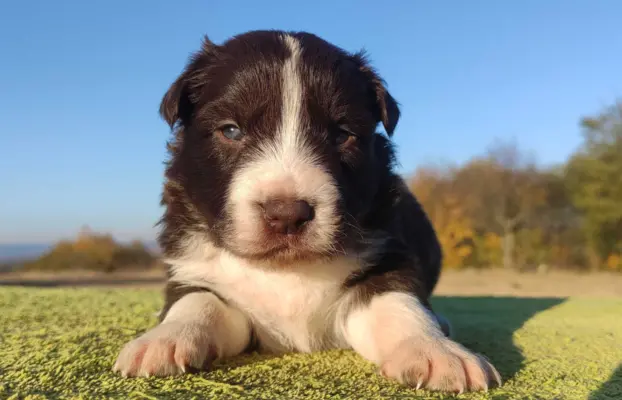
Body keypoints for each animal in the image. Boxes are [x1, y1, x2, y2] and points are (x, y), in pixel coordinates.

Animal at [112, 29, 502, 392]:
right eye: (231, 130)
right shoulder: (193, 269)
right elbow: (196, 302)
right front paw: (163, 339)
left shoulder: (386, 258)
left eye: (342, 135)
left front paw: (436, 352)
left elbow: (398, 304)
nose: (287, 214)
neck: (288, 270)